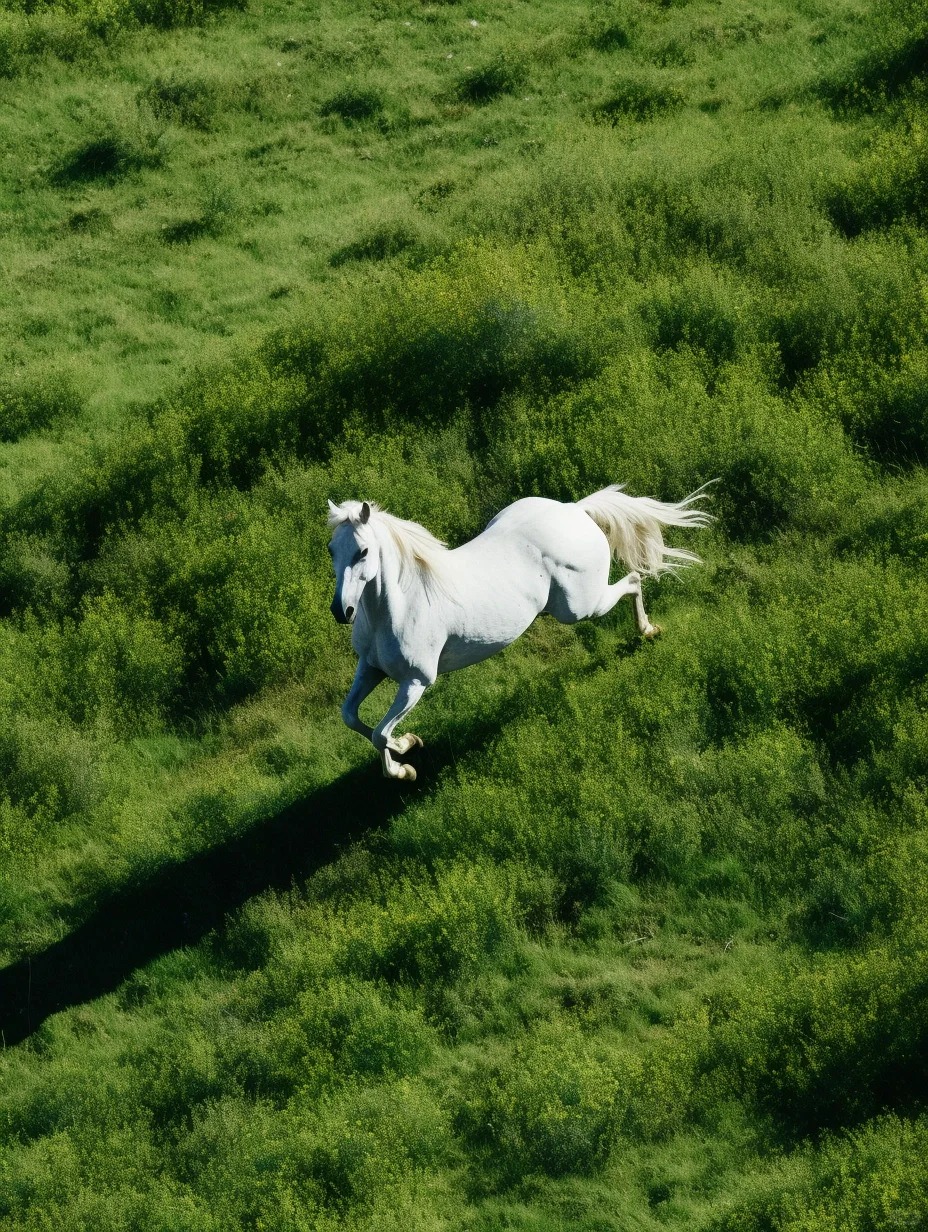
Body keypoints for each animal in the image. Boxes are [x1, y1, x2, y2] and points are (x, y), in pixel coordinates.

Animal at [325, 482, 709, 778]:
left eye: (363, 551)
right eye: (331, 550)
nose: (342, 612)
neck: (403, 603)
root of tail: (576, 511)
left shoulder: (415, 682)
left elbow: (379, 733)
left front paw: (406, 761)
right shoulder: (370, 669)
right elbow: (351, 718)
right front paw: (407, 747)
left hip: (580, 607)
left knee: (632, 580)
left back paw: (648, 630)